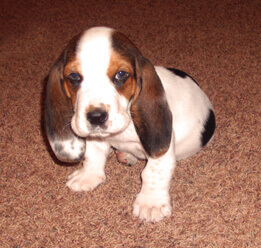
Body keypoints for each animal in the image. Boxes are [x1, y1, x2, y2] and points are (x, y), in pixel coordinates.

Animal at [45, 27, 215, 223]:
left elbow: (153, 171)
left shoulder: (162, 149)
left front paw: (151, 204)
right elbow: (93, 154)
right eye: (74, 76)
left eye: (121, 74)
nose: (96, 117)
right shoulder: (97, 138)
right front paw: (88, 176)